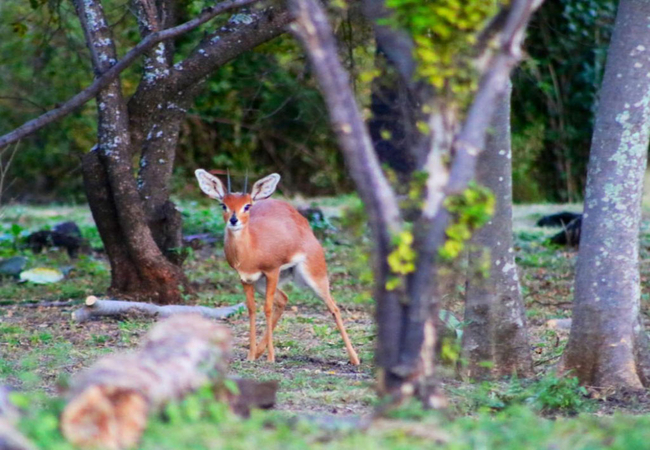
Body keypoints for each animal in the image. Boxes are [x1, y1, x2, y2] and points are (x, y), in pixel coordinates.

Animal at [195, 169, 362, 366]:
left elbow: (266, 308)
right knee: (283, 299)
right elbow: (252, 309)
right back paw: (259, 351)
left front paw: (271, 358)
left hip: (313, 274)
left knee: (333, 307)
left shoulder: (272, 271)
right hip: (263, 282)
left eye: (247, 205)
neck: (251, 250)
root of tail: (300, 219)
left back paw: (355, 359)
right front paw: (251, 356)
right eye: (223, 205)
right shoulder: (246, 278)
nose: (234, 220)